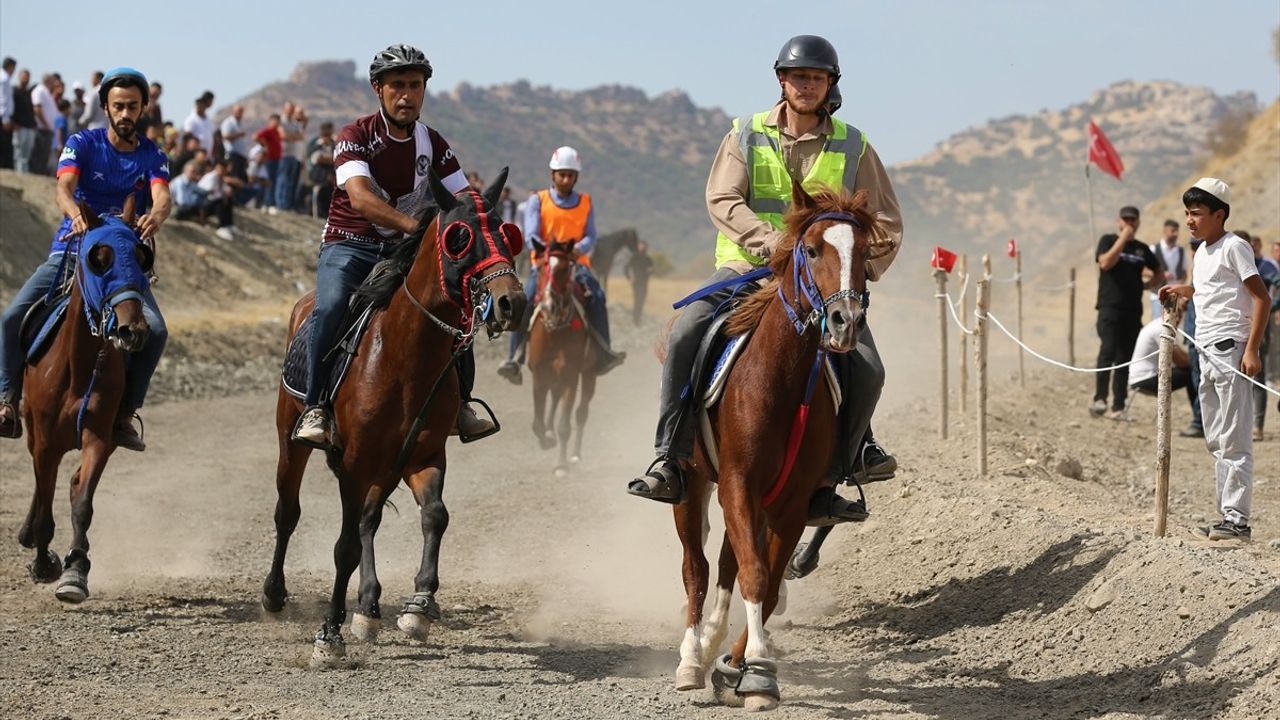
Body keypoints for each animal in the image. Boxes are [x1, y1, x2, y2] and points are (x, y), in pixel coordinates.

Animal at [262, 170, 527, 666]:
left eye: (507, 233)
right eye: (459, 238)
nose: (511, 303)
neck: (404, 356)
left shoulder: (423, 454)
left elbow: (435, 516)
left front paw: (418, 606)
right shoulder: (354, 464)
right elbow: (344, 547)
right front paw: (329, 635)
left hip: (387, 465)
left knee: (370, 520)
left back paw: (368, 606)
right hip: (292, 441)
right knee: (288, 512)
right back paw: (274, 594)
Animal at [522, 240, 596, 474]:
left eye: (564, 269)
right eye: (542, 267)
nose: (549, 304)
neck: (555, 330)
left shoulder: (571, 375)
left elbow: (565, 425)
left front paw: (561, 465)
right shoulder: (539, 374)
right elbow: (537, 422)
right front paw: (546, 439)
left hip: (588, 375)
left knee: (581, 413)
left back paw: (575, 455)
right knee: (554, 399)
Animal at [665, 181, 896, 707]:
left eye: (865, 253)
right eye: (810, 250)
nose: (845, 321)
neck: (781, 384)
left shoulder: (790, 502)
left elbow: (767, 584)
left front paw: (742, 669)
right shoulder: (736, 482)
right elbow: (751, 575)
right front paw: (753, 669)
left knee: (726, 563)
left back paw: (713, 643)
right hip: (691, 484)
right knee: (696, 567)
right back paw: (690, 658)